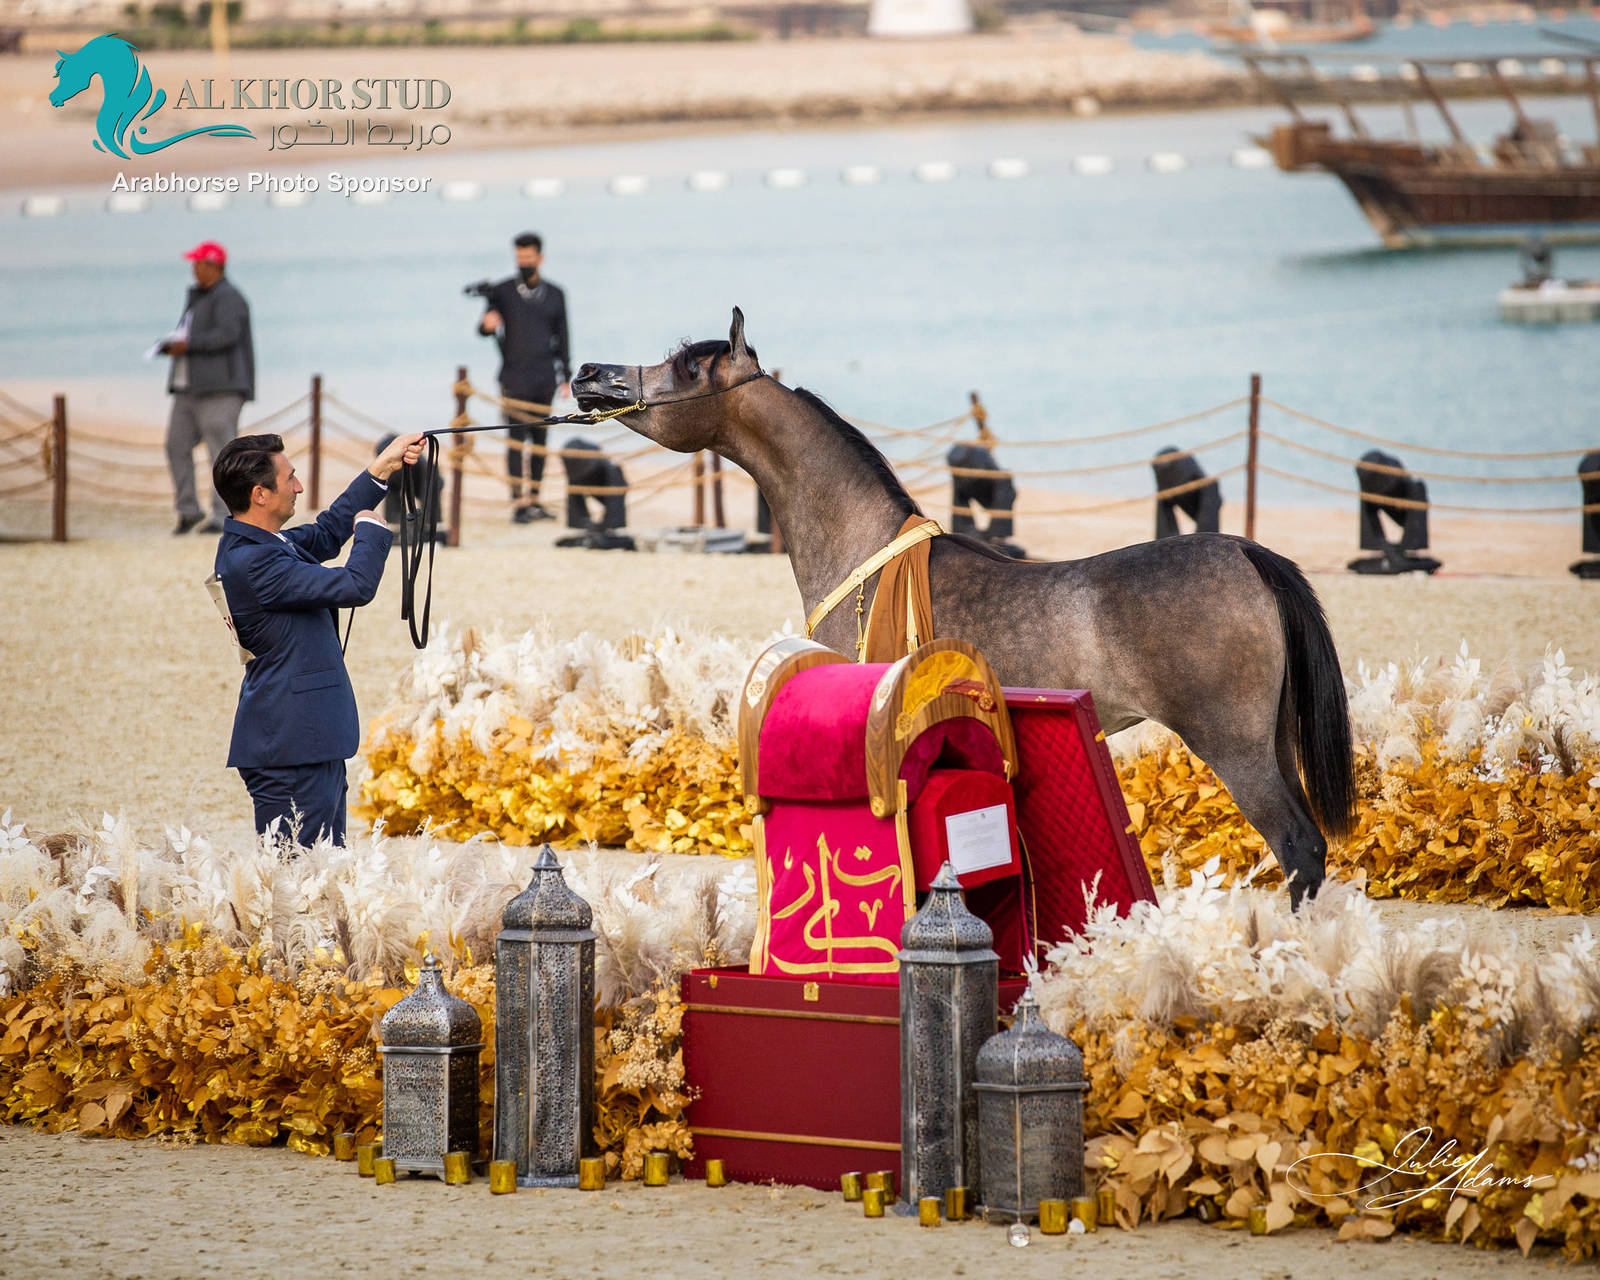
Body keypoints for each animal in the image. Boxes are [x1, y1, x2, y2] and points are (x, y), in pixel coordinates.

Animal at [573, 309, 1354, 908]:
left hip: (1234, 744)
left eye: (683, 368)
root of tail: (1248, 556)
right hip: (1271, 740)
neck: (864, 553)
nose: (587, 373)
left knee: (1297, 846)